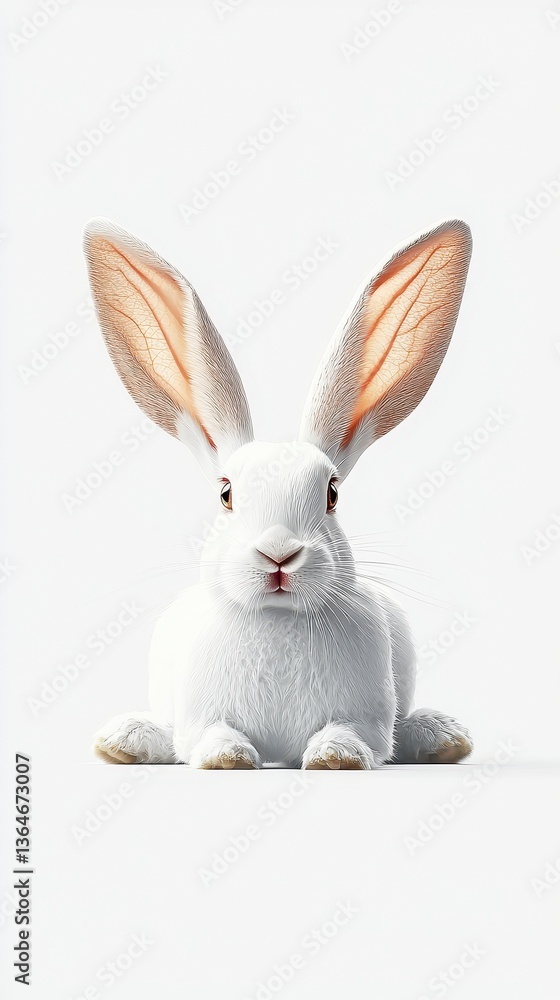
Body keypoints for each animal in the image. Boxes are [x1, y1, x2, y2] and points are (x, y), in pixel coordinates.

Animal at [85, 216, 474, 769]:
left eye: (332, 494)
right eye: (226, 494)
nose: (279, 553)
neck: (278, 620)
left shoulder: (368, 717)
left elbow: (355, 734)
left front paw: (336, 757)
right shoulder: (202, 716)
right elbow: (209, 735)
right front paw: (227, 759)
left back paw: (439, 735)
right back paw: (125, 740)